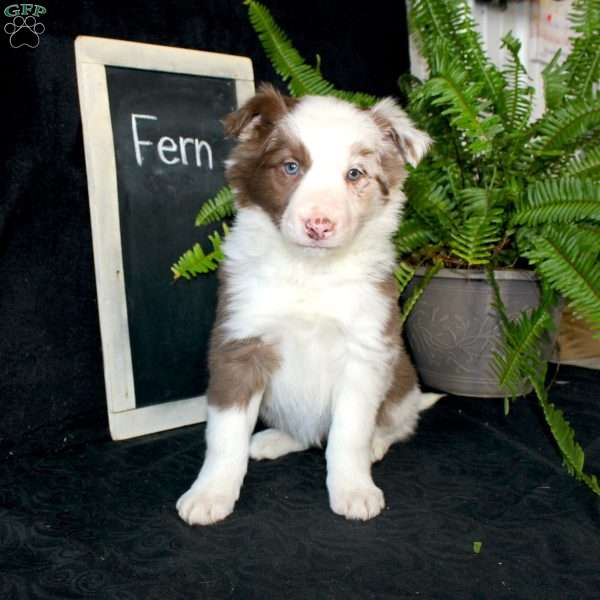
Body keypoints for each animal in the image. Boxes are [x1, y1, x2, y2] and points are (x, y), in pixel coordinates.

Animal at [176, 84, 438, 524]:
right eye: (291, 167)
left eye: (355, 174)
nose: (319, 225)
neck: (309, 271)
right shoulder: (239, 344)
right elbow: (224, 433)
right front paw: (210, 493)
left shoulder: (365, 352)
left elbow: (349, 433)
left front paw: (353, 489)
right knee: (307, 433)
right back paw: (273, 440)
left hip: (401, 381)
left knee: (394, 425)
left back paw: (376, 445)